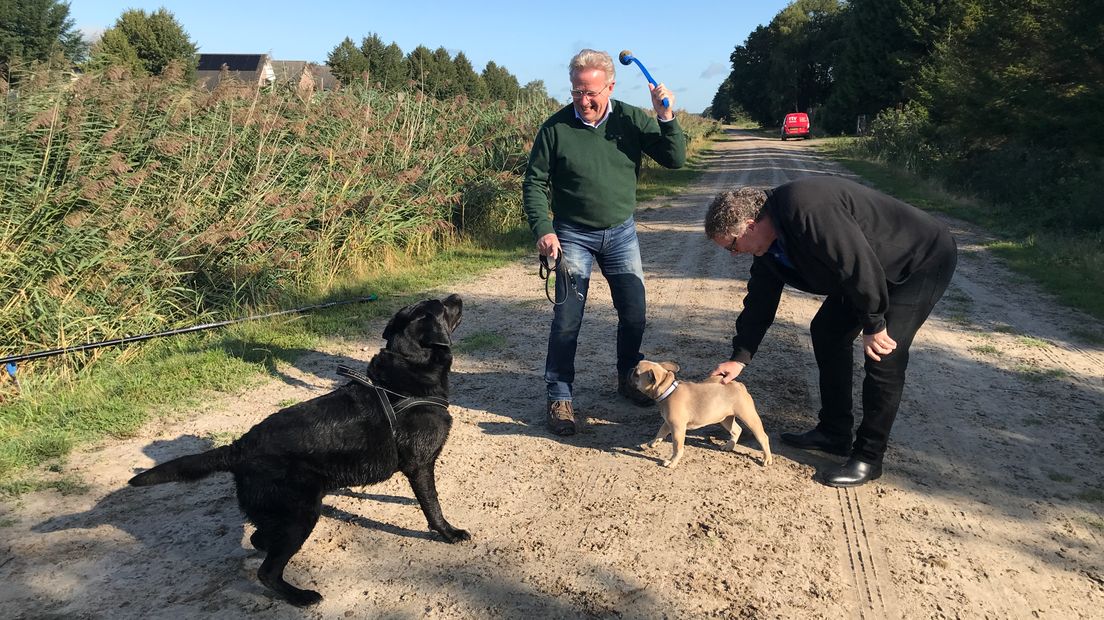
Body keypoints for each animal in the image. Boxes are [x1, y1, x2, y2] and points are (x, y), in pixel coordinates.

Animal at [129, 293, 470, 604]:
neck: (404, 380)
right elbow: (432, 505)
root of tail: (238, 448)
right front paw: (449, 533)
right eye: (441, 305)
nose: (456, 296)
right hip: (300, 516)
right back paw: (300, 597)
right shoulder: (419, 464)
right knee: (267, 571)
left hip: (286, 514)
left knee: (258, 537)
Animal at [635, 359, 772, 465]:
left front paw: (672, 462)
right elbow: (660, 432)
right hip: (725, 418)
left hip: (749, 417)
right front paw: (653, 443)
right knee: (736, 430)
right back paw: (728, 446)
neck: (668, 390)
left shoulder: (677, 428)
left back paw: (767, 459)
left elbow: (677, 447)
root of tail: (739, 385)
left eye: (636, 374)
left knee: (762, 437)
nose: (631, 370)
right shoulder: (668, 423)